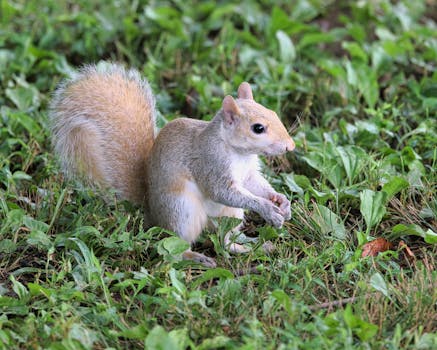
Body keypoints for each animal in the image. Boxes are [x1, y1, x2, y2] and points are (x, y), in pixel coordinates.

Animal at [49, 63, 294, 266]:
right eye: (258, 128)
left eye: (273, 112)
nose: (290, 146)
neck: (238, 152)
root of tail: (151, 211)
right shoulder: (210, 163)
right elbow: (221, 191)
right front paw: (267, 209)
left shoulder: (248, 173)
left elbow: (255, 185)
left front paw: (281, 201)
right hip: (181, 211)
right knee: (176, 245)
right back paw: (195, 257)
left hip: (230, 215)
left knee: (225, 240)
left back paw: (248, 245)